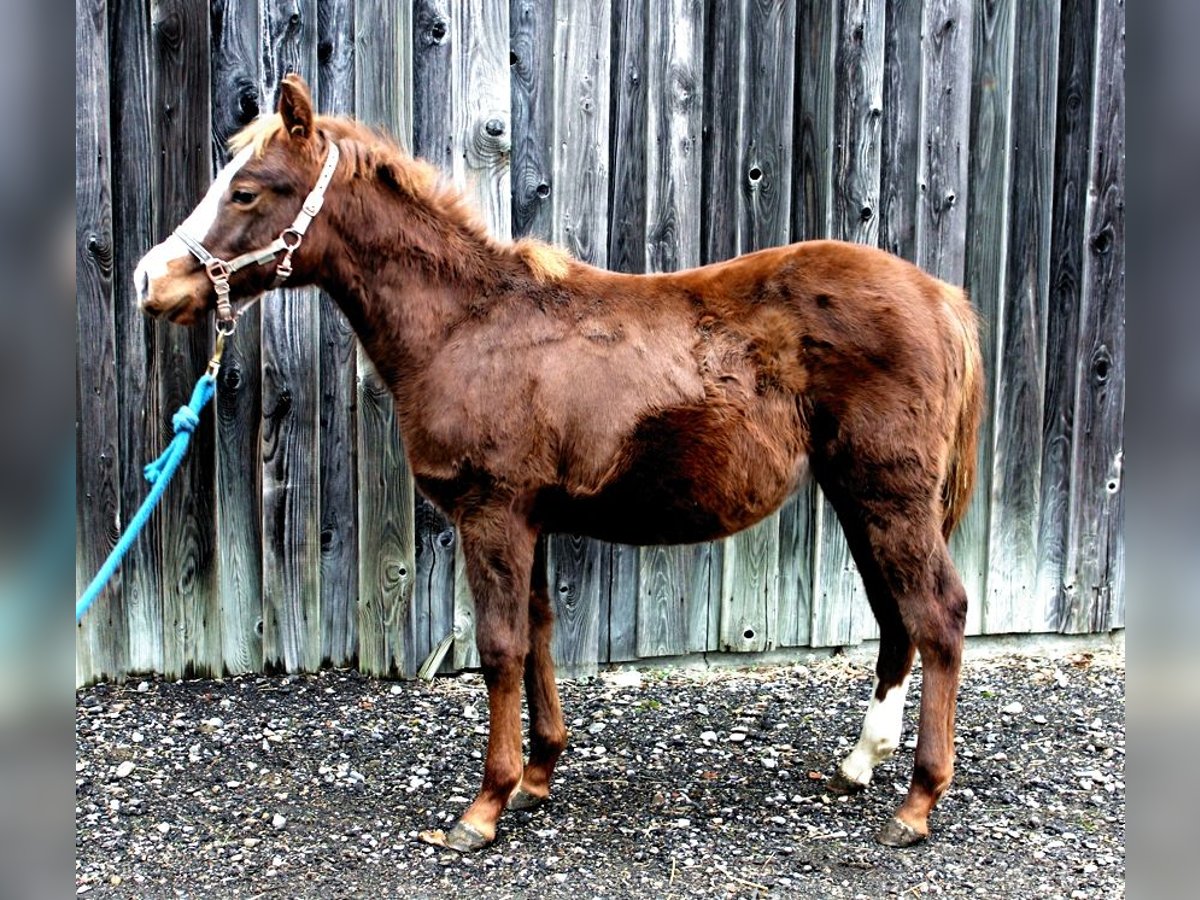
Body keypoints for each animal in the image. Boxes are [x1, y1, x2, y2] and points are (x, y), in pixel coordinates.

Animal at [136, 75, 984, 854]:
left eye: (246, 189)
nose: (153, 280)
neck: (465, 326)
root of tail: (942, 297)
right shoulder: (529, 520)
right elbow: (539, 630)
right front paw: (539, 776)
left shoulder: (492, 514)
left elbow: (501, 648)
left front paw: (483, 808)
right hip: (859, 496)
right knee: (895, 617)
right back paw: (859, 763)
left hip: (889, 495)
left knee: (938, 614)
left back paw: (917, 803)